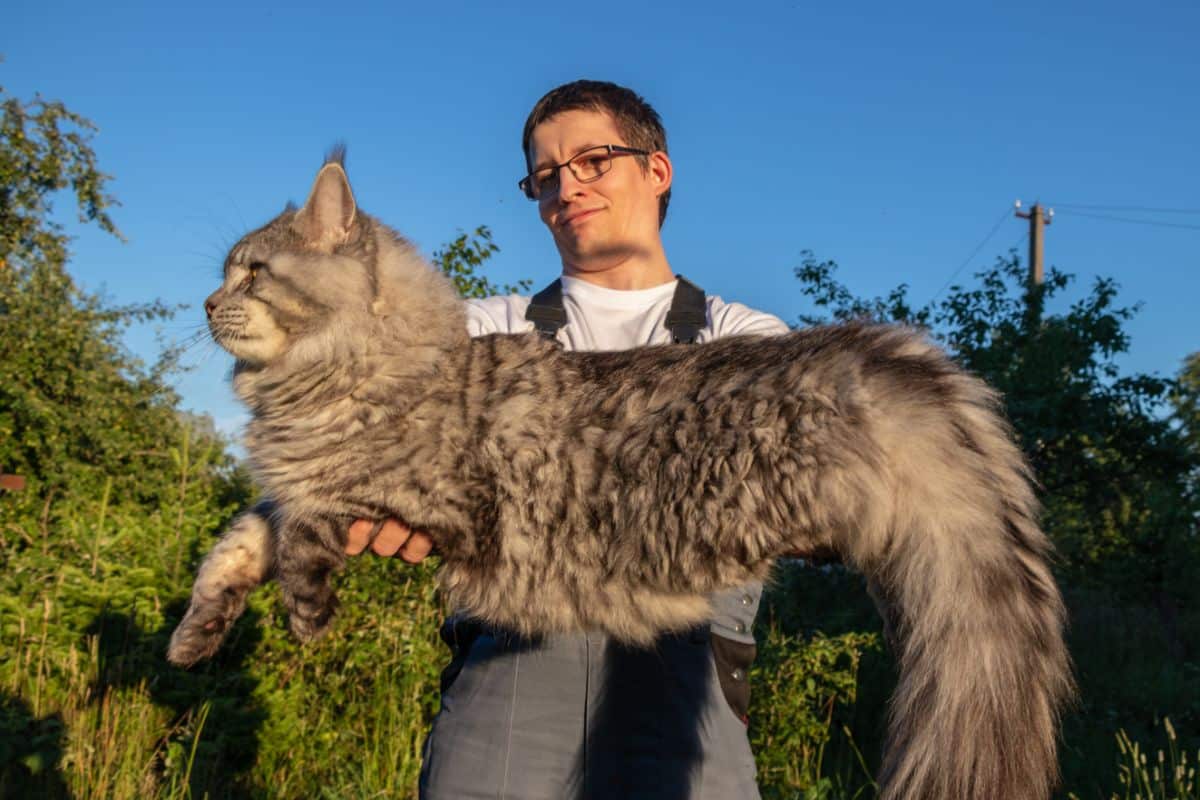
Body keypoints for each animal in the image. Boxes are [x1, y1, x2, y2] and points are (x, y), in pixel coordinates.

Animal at [166, 154, 1070, 800]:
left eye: (252, 274)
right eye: (227, 273)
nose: (207, 305)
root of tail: (854, 359)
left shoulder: (435, 502)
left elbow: (305, 530)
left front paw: (306, 614)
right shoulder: (287, 489)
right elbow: (242, 539)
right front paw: (195, 634)